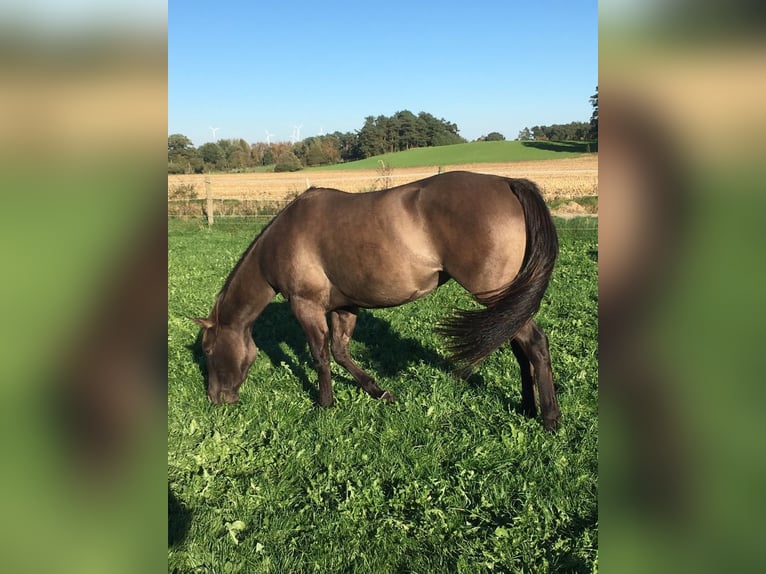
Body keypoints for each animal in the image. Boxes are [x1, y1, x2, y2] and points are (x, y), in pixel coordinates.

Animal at [195, 171, 560, 432]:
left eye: (208, 350)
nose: (215, 398)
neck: (283, 239)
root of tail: (508, 182)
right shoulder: (344, 306)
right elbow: (341, 352)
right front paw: (378, 391)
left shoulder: (306, 306)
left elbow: (320, 357)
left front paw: (324, 405)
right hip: (506, 303)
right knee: (519, 347)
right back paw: (528, 407)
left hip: (495, 295)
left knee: (536, 344)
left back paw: (550, 418)